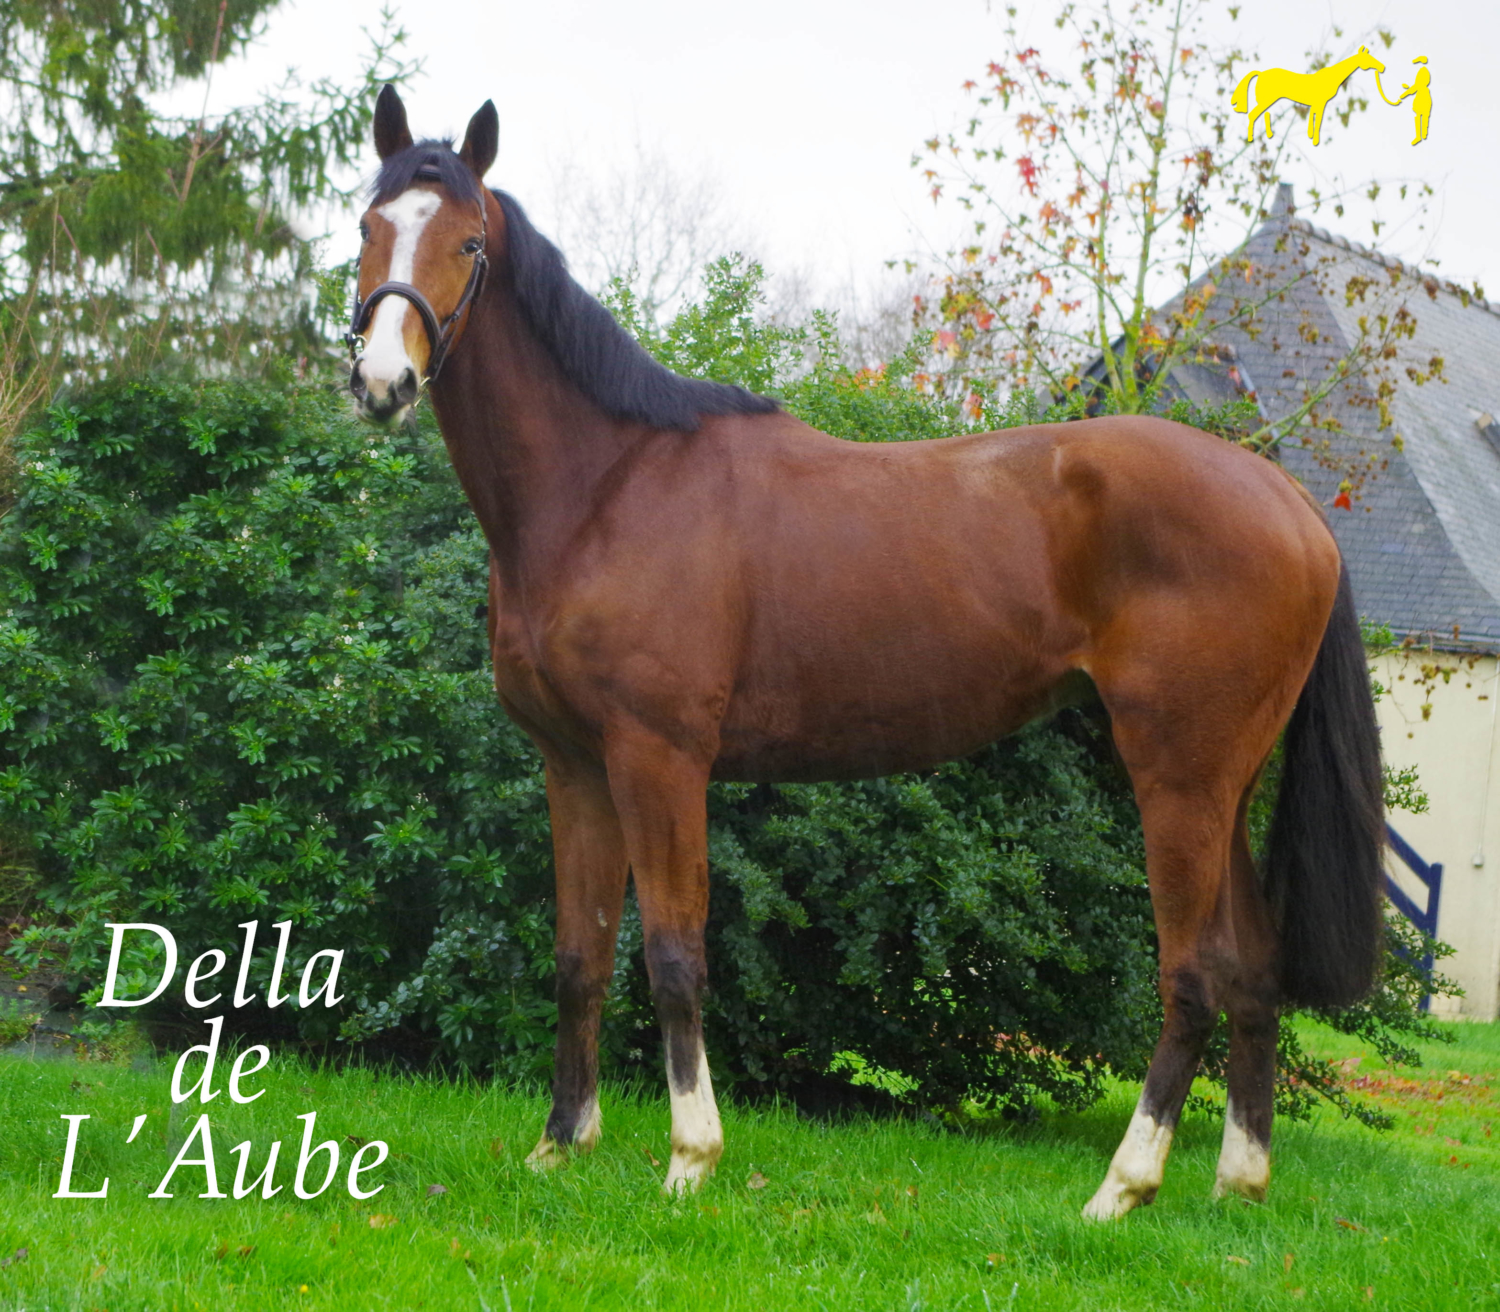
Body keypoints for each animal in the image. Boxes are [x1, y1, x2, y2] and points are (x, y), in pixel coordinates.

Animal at [347, 86, 1385, 1219]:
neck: (608, 485)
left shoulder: (659, 760)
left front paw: (690, 1159)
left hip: (1179, 782)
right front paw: (559, 1147)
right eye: (367, 228)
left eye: (469, 241)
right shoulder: (574, 764)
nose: (382, 381)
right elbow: (581, 954)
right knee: (1254, 971)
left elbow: (672, 954)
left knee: (1192, 974)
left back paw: (1123, 1187)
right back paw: (1236, 1185)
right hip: (1226, 786)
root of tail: (1290, 502)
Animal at [1232, 46, 1385, 145]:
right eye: (1369, 58)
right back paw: (1251, 139)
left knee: (1264, 114)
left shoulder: (1315, 104)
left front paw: (1311, 136)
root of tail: (1260, 73)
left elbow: (1312, 118)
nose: (1382, 67)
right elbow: (1318, 121)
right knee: (1254, 114)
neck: (1331, 77)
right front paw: (1316, 140)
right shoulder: (1321, 103)